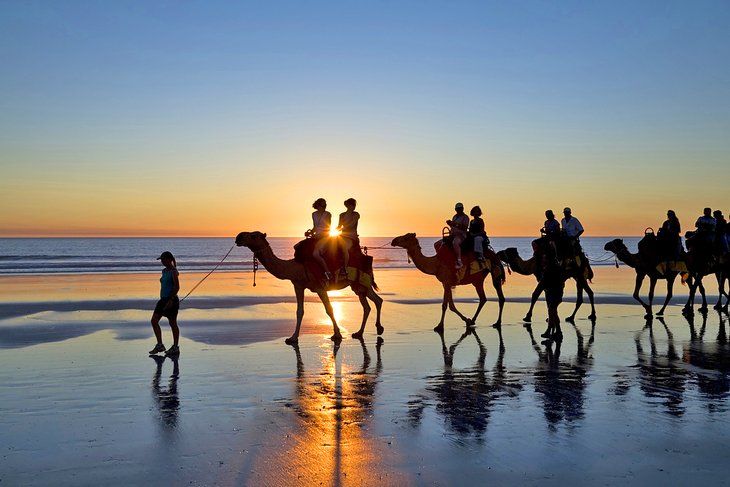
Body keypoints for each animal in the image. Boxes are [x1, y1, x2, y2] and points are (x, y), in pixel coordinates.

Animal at [235, 232, 384, 344]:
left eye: (254, 235)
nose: (238, 237)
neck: (296, 268)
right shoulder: (298, 285)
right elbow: (299, 311)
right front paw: (292, 338)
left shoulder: (319, 286)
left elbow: (329, 309)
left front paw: (337, 335)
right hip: (357, 285)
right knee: (370, 304)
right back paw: (360, 332)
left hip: (363, 282)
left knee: (375, 301)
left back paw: (377, 328)